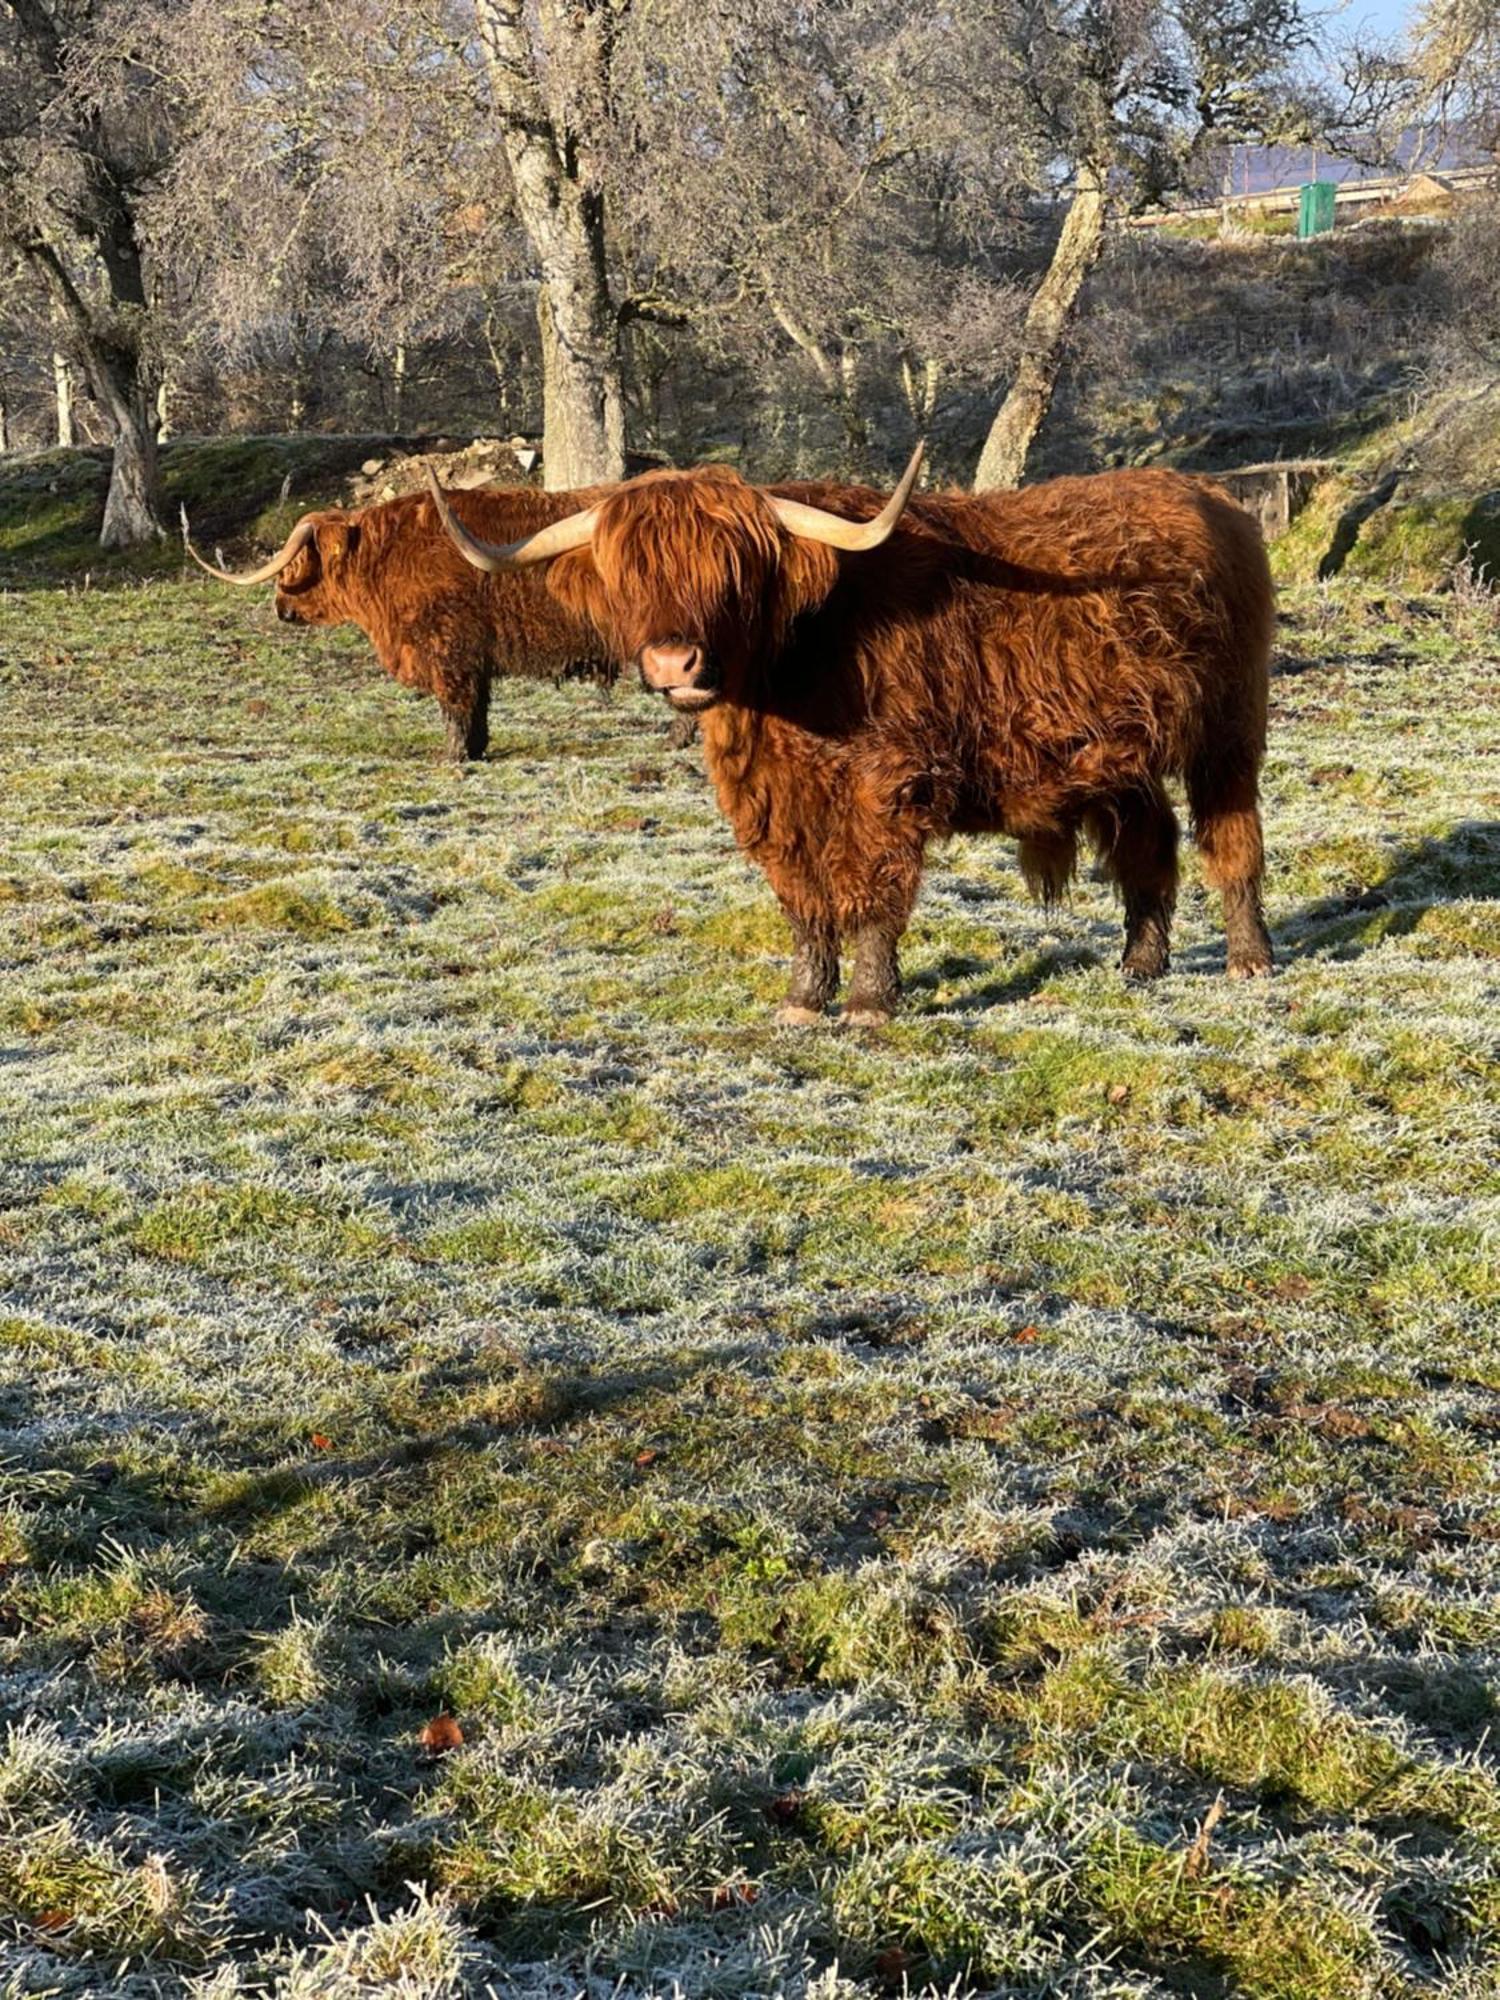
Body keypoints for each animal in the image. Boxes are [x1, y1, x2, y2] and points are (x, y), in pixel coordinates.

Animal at [428, 448, 1272, 1024]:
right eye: (629, 575)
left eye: (734, 571)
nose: (673, 663)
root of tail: (1210, 495)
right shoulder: (776, 801)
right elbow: (804, 899)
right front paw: (804, 999)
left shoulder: (885, 786)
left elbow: (872, 890)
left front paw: (868, 1000)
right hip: (1119, 754)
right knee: (1149, 842)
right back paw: (1141, 963)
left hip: (1229, 727)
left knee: (1231, 838)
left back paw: (1247, 959)